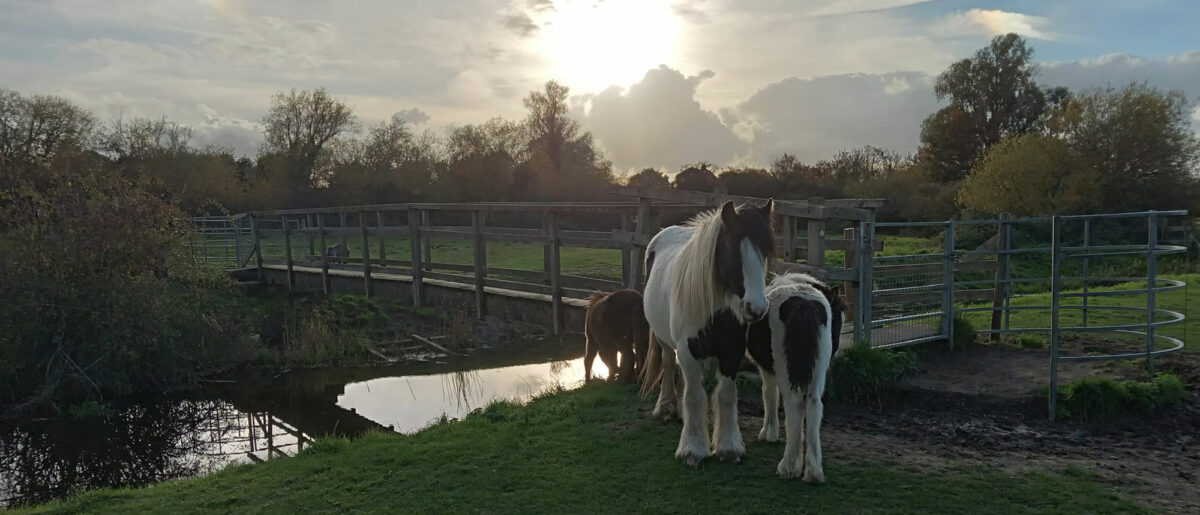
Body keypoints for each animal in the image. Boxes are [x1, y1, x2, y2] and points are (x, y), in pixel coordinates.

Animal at [643, 199, 772, 465]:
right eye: (734, 251)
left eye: (765, 250)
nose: (756, 308)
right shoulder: (688, 350)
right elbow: (694, 396)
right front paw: (692, 449)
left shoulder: (732, 352)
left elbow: (726, 395)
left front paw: (729, 447)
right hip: (665, 341)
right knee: (669, 364)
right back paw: (665, 409)